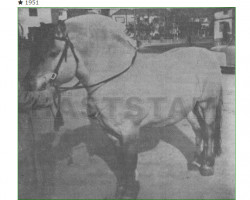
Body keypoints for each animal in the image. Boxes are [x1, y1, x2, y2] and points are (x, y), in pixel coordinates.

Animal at [24, 14, 223, 198]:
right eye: (33, 49)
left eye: (53, 52)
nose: (28, 84)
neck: (113, 78)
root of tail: (209, 55)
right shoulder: (112, 134)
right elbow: (121, 164)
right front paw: (122, 190)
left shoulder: (129, 133)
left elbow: (129, 163)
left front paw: (129, 192)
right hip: (189, 108)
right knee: (198, 129)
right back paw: (195, 161)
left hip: (207, 103)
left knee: (209, 130)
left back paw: (207, 166)